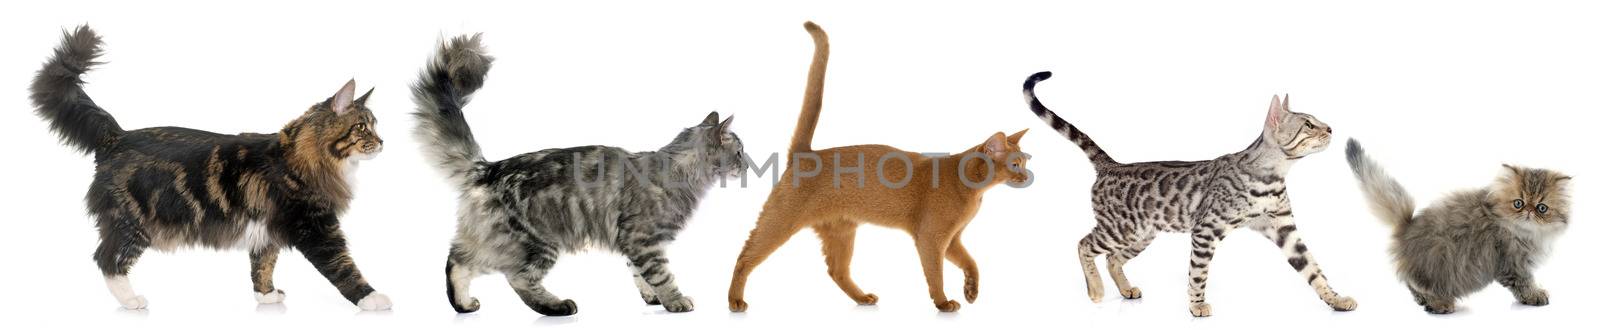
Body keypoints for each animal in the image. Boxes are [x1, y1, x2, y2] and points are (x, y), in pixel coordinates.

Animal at [29, 25, 392, 309]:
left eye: (374, 126)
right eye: (362, 128)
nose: (383, 142)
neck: (303, 156)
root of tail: (118, 136)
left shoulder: (266, 230)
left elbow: (263, 264)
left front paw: (266, 296)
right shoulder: (315, 226)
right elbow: (342, 266)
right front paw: (371, 298)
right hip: (132, 223)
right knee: (107, 259)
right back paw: (131, 300)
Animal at [416, 34, 745, 315]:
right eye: (740, 152)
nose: (746, 165)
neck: (678, 168)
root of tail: (489, 168)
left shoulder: (634, 243)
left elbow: (640, 274)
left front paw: (652, 297)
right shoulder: (644, 239)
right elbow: (661, 274)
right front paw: (675, 301)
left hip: (492, 239)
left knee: (457, 260)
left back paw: (463, 304)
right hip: (537, 241)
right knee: (516, 277)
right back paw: (557, 306)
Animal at [723, 21, 1024, 313]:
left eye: (1026, 162)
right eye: (1015, 164)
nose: (1027, 176)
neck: (972, 188)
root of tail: (805, 153)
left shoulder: (952, 239)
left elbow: (972, 262)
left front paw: (971, 290)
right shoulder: (931, 238)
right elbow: (935, 275)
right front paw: (943, 302)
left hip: (841, 231)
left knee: (836, 270)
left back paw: (862, 298)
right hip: (781, 220)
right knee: (744, 256)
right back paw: (735, 301)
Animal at [1017, 72, 1356, 317]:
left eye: (1317, 122)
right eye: (1308, 125)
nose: (1330, 129)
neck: (1272, 175)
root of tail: (1111, 165)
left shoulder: (1284, 228)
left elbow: (1314, 269)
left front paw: (1335, 299)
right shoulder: (1206, 230)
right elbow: (1198, 273)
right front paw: (1196, 305)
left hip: (1141, 234)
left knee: (1113, 258)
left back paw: (1126, 289)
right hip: (1121, 229)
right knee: (1083, 244)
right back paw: (1096, 290)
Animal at [1344, 137, 1568, 313]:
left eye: (1541, 208)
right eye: (1518, 203)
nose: (1529, 211)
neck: (1525, 233)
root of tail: (1407, 227)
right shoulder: (1512, 263)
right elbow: (1524, 283)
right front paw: (1535, 295)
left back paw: (1424, 301)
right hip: (1437, 262)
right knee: (1419, 284)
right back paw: (1439, 304)